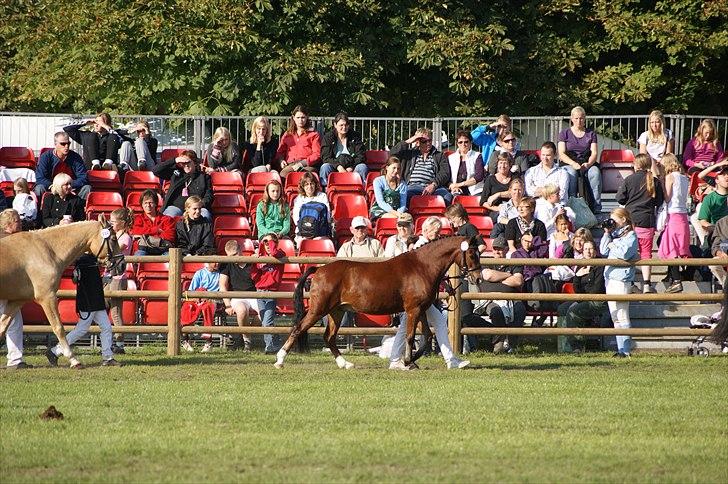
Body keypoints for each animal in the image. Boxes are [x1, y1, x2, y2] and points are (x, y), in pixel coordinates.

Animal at [0, 218, 123, 368]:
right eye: (113, 239)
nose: (122, 264)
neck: (47, 250)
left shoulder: (17, 301)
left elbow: (3, 326)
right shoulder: (48, 298)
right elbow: (59, 328)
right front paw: (73, 360)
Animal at [274, 235, 482, 369]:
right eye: (472, 254)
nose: (478, 277)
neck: (422, 267)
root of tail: (319, 269)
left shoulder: (421, 309)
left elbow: (427, 336)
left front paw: (411, 360)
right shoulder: (413, 309)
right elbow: (409, 336)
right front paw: (407, 361)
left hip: (337, 311)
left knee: (329, 337)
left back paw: (345, 364)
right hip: (319, 309)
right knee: (298, 329)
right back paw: (280, 360)